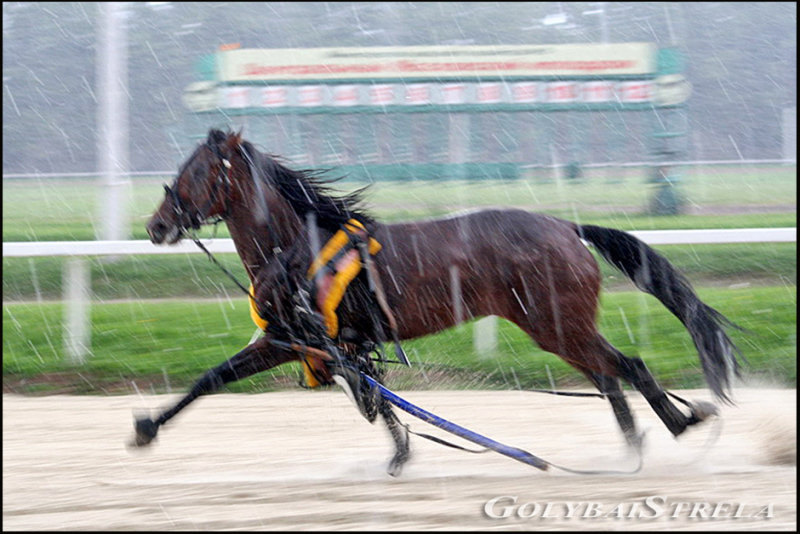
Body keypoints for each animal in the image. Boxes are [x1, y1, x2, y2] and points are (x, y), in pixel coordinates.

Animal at [134, 130, 740, 478]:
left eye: (197, 172)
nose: (156, 225)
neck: (297, 248)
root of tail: (566, 226)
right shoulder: (309, 343)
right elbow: (219, 379)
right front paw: (401, 452)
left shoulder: (299, 340)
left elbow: (213, 378)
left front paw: (145, 427)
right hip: (558, 326)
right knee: (608, 375)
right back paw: (633, 447)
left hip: (556, 323)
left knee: (626, 366)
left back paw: (682, 424)